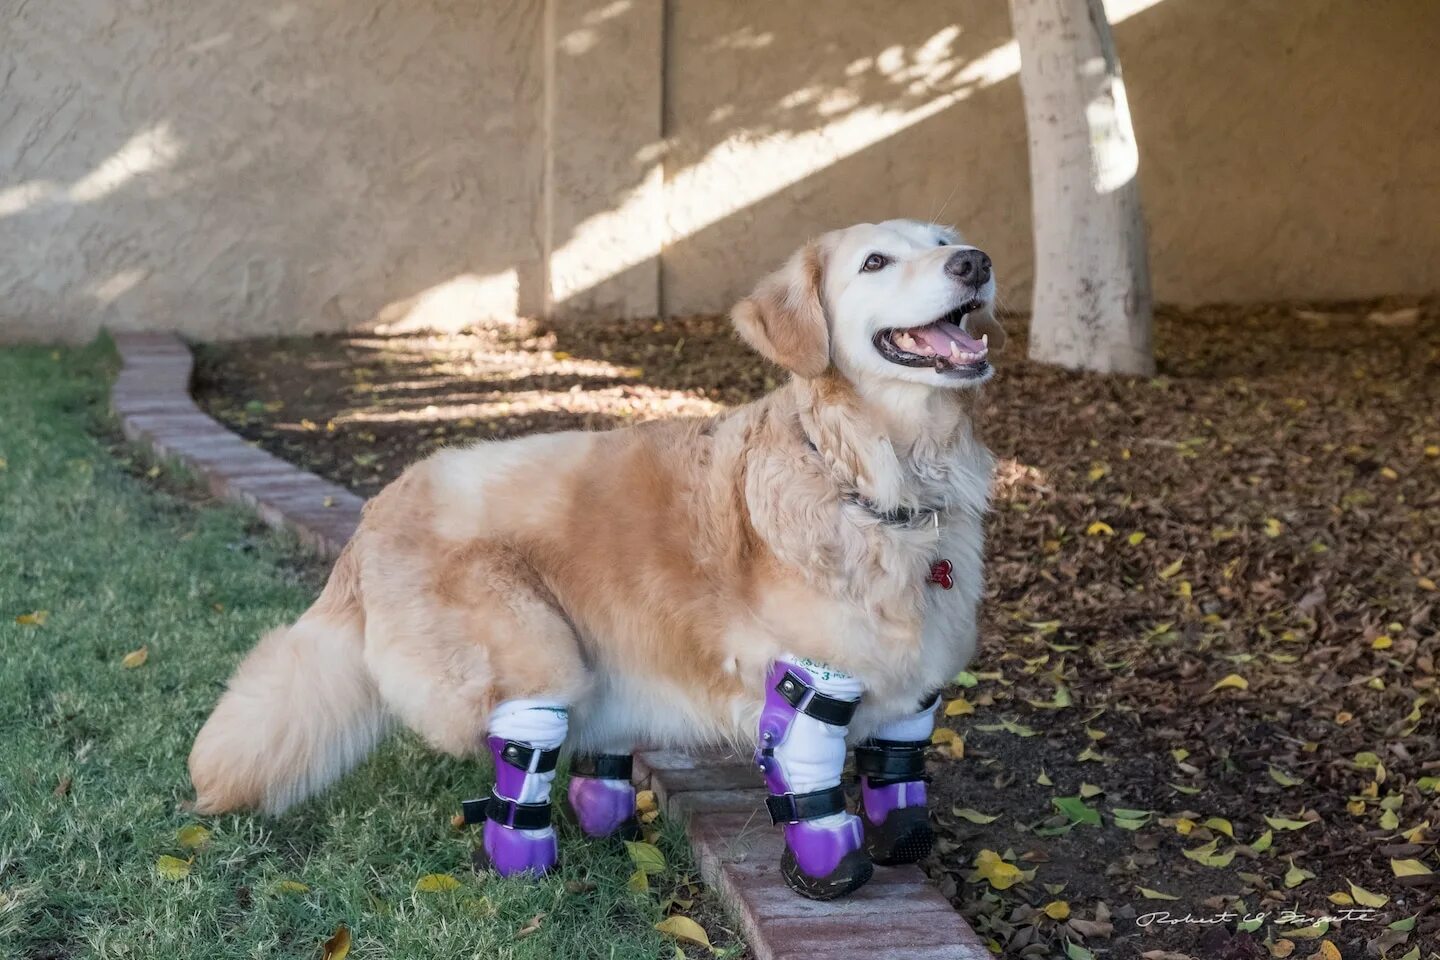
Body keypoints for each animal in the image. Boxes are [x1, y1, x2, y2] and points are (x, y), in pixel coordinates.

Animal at [194, 217, 1002, 903]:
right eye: (875, 262)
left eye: (943, 240)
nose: (977, 261)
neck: (884, 479)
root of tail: (374, 512)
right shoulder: (814, 675)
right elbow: (812, 781)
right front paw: (830, 868)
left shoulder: (919, 681)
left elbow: (899, 763)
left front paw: (904, 837)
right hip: (534, 651)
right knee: (525, 749)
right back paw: (524, 862)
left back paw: (606, 820)